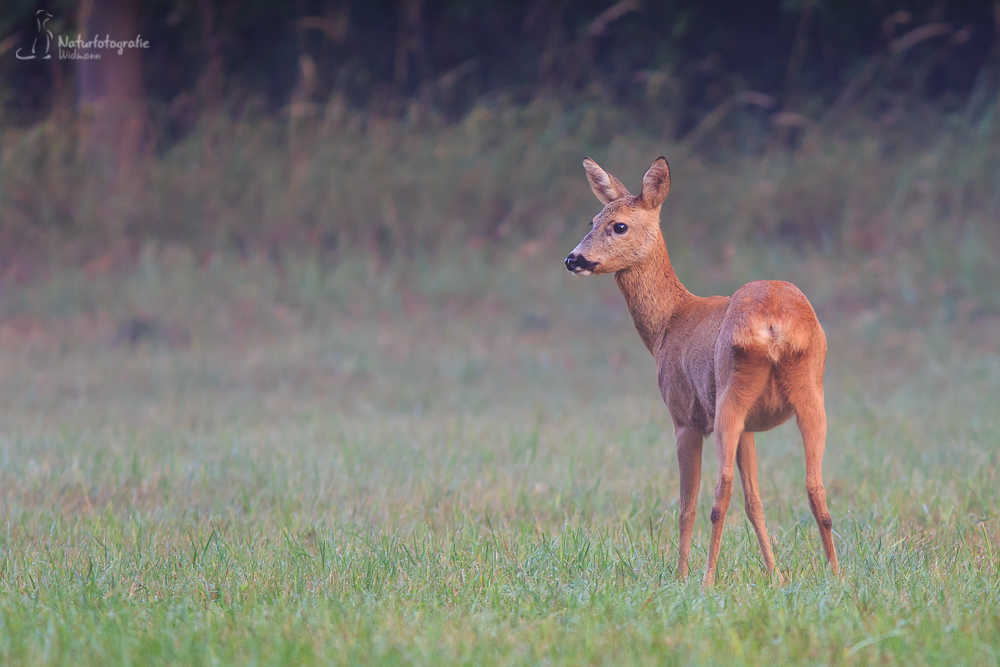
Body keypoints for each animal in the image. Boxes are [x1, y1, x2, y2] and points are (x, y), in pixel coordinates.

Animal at [564, 157, 836, 584]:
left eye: (618, 225)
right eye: (593, 220)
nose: (573, 259)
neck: (668, 323)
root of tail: (773, 324)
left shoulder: (684, 416)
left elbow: (685, 506)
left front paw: (679, 576)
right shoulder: (751, 428)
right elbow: (756, 500)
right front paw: (775, 575)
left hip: (728, 393)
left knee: (720, 492)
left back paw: (707, 579)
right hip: (809, 392)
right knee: (816, 487)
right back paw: (837, 577)